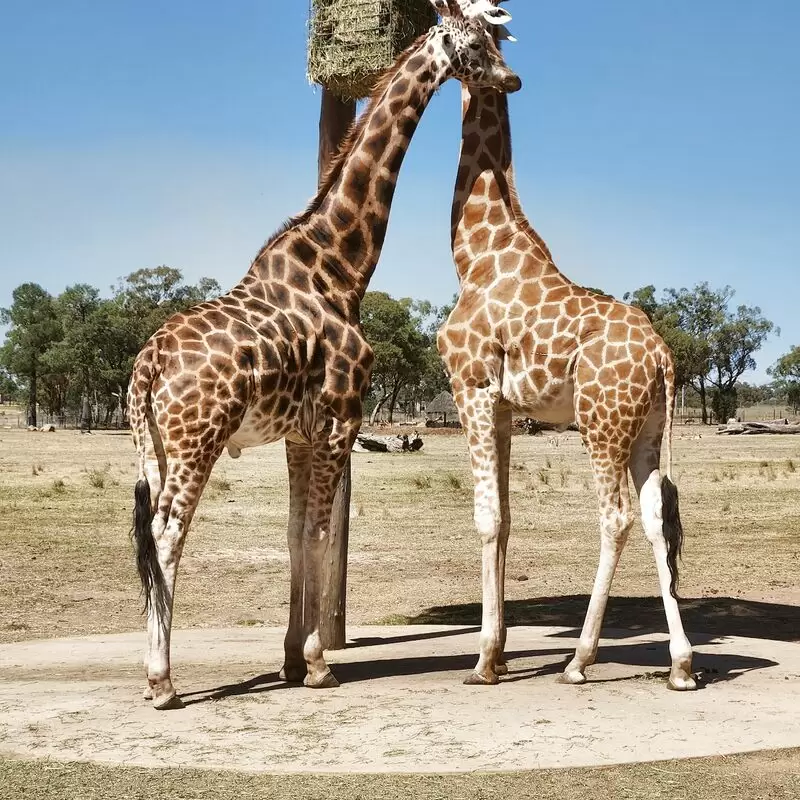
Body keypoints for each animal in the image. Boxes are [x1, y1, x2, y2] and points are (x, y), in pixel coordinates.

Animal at [127, 0, 520, 712]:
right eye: (477, 40)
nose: (514, 79)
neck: (340, 267)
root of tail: (149, 364)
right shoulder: (341, 419)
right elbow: (317, 534)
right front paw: (316, 664)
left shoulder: (298, 433)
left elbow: (292, 535)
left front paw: (289, 658)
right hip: (196, 438)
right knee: (168, 537)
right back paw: (162, 681)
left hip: (153, 444)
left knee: (150, 537)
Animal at [434, 0, 696, 692]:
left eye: (469, 33)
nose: (512, 77)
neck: (476, 255)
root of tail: (663, 357)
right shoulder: (502, 408)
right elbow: (504, 521)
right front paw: (496, 654)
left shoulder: (470, 388)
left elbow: (486, 518)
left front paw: (483, 662)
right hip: (648, 427)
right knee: (657, 517)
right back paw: (681, 664)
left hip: (600, 423)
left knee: (617, 517)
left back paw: (580, 660)